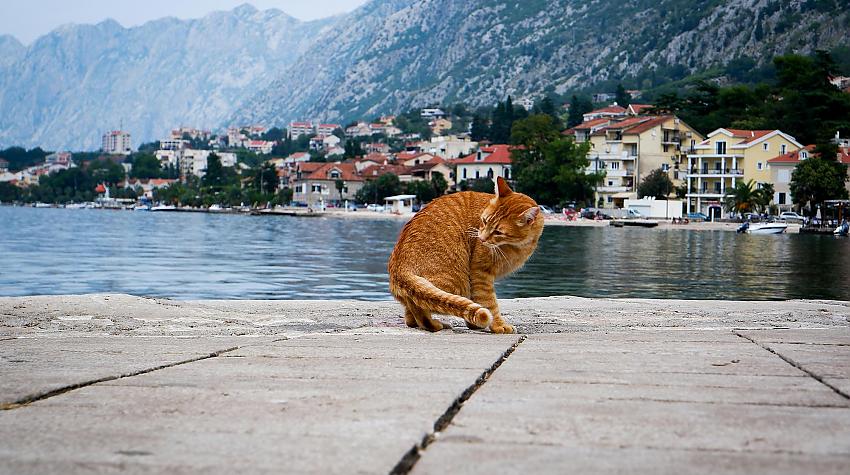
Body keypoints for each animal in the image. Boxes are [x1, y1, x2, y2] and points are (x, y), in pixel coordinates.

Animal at [386, 177, 540, 336]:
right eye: (484, 221)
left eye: (498, 232)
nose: (481, 239)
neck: (516, 246)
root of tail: (398, 267)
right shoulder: (480, 273)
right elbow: (489, 303)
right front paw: (498, 326)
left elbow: (476, 300)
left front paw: (473, 324)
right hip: (455, 282)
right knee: (417, 306)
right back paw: (433, 325)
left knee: (410, 313)